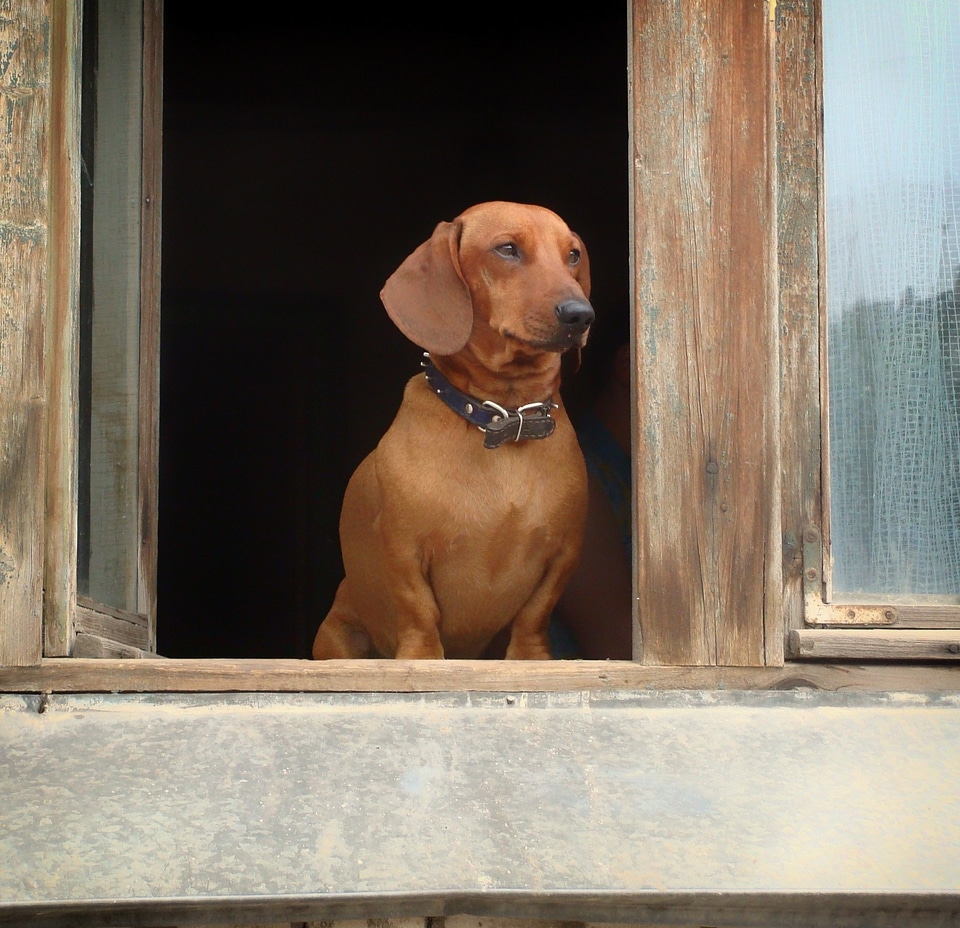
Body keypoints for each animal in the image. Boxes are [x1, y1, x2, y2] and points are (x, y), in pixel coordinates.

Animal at [312, 201, 592, 660]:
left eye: (573, 255)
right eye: (507, 249)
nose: (580, 314)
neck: (505, 417)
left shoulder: (564, 553)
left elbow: (535, 613)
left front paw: (531, 659)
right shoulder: (404, 550)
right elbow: (419, 609)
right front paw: (423, 659)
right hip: (337, 635)